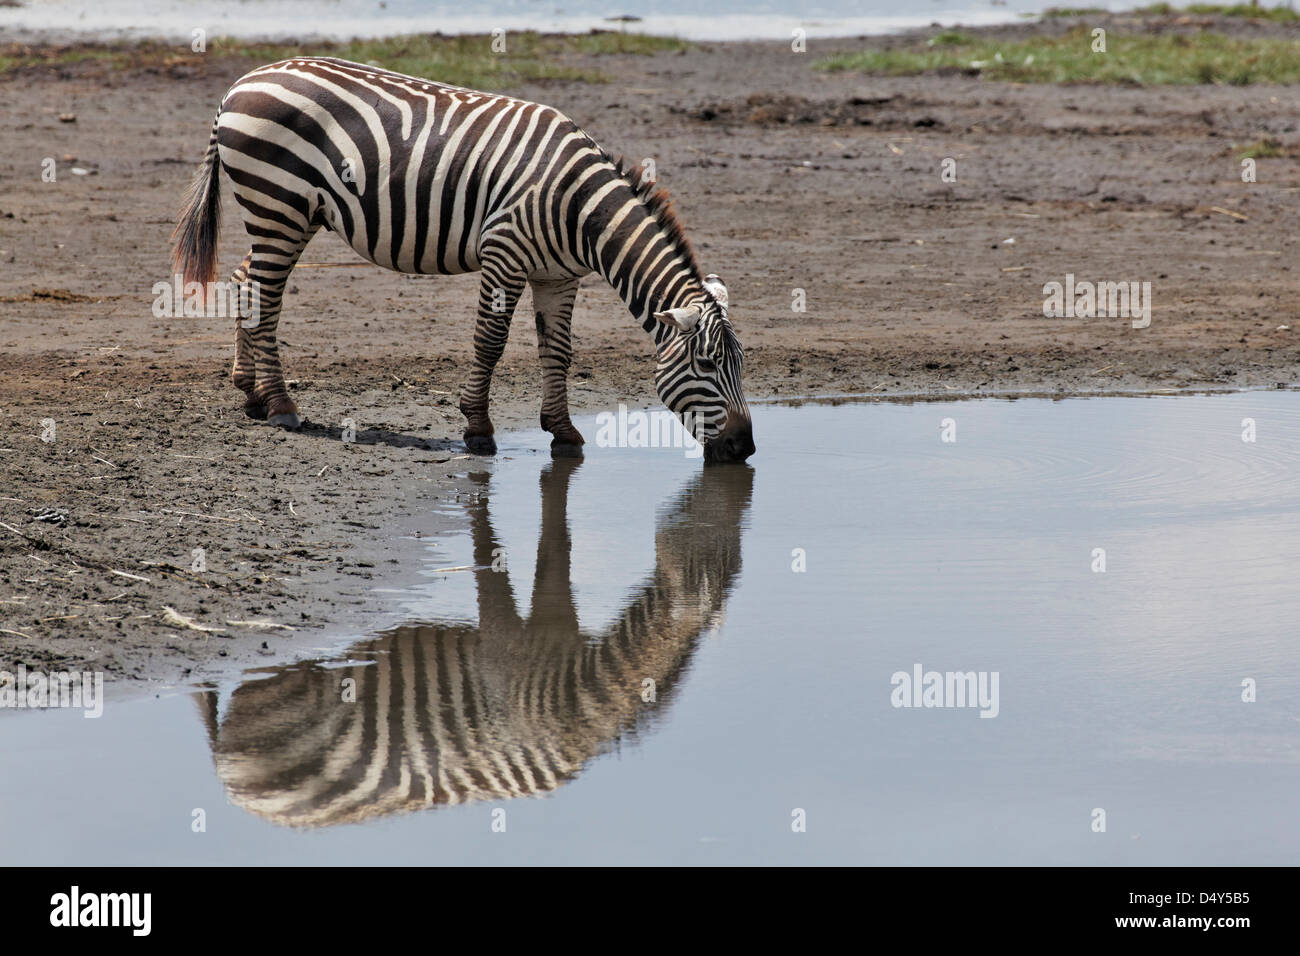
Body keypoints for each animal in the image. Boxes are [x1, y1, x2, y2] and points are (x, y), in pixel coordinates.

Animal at [172, 56, 756, 463]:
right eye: (707, 365)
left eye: (741, 365)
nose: (745, 449)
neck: (580, 211)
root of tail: (242, 82)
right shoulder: (505, 254)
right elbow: (490, 343)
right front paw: (477, 428)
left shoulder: (559, 276)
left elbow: (558, 352)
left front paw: (563, 433)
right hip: (279, 204)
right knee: (267, 295)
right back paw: (281, 406)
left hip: (287, 214)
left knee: (247, 281)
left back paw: (250, 393)